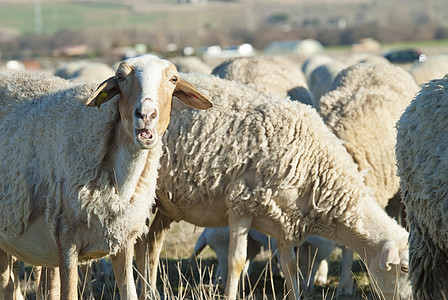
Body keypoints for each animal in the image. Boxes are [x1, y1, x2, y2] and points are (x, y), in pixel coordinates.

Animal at [0, 54, 214, 300]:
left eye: (173, 79)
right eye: (120, 78)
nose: (145, 115)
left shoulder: (122, 240)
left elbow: (129, 293)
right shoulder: (67, 241)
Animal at [135, 72, 412, 300]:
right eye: (404, 267)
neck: (318, 167)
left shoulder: (285, 221)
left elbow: (290, 266)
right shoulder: (241, 204)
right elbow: (237, 261)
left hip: (166, 205)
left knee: (151, 243)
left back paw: (150, 292)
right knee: (141, 243)